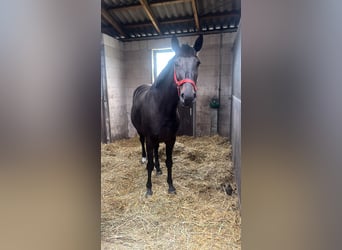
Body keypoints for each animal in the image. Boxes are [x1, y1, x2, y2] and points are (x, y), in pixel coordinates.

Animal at [130, 34, 202, 196]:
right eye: (176, 63)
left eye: (197, 63)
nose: (188, 97)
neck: (161, 107)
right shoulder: (150, 138)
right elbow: (150, 163)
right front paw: (149, 188)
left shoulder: (171, 139)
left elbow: (169, 162)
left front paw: (170, 186)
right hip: (142, 133)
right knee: (142, 144)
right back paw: (143, 159)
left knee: (157, 152)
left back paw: (158, 169)